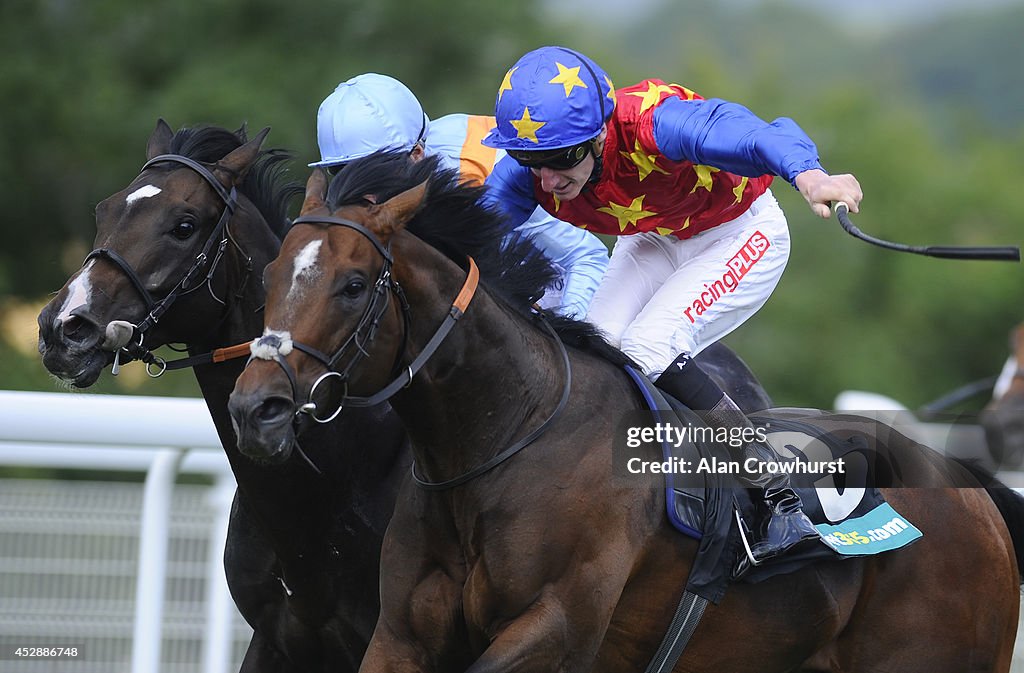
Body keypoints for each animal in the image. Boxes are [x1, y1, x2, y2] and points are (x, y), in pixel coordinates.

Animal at [228, 150, 1024, 671]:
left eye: (354, 284)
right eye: (268, 275)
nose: (255, 408)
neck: (507, 436)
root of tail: (967, 483)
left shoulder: (559, 628)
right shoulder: (399, 636)